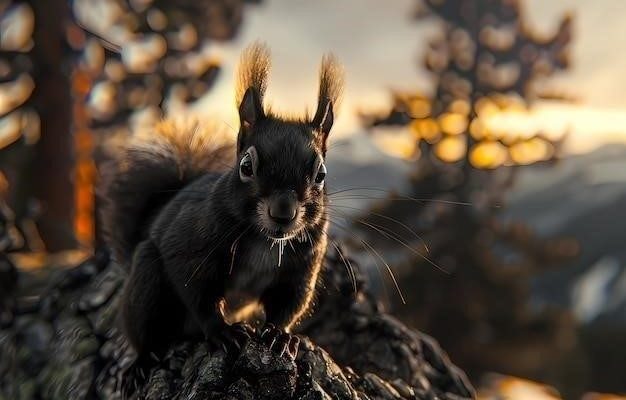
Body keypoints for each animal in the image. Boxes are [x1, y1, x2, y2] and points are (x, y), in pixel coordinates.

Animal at [98, 41, 342, 368]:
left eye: (321, 175)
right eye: (246, 167)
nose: (283, 212)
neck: (265, 242)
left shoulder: (301, 267)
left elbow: (288, 303)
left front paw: (280, 335)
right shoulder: (191, 248)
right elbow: (197, 292)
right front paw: (221, 331)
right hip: (147, 281)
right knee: (145, 329)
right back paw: (143, 360)